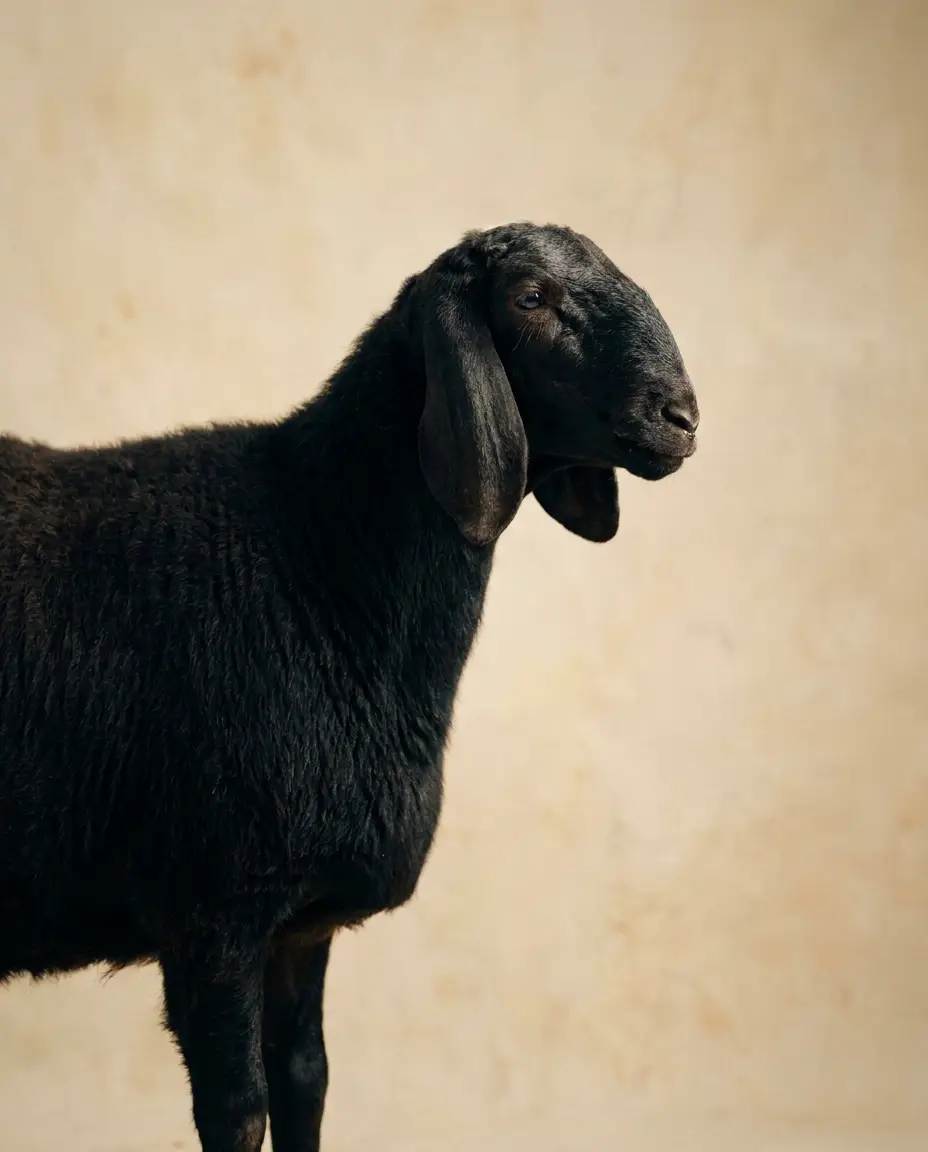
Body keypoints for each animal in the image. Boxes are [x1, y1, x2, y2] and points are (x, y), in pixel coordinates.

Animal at [0, 222, 700, 1152]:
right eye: (530, 297)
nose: (682, 418)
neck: (315, 551)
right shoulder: (214, 916)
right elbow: (239, 1110)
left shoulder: (303, 925)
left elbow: (306, 1081)